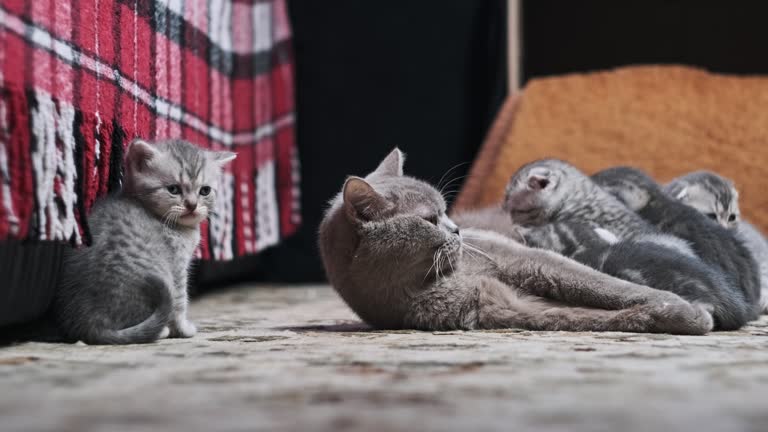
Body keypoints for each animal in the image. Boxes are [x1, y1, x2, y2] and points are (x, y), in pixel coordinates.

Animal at [54, 138, 236, 344]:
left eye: (205, 191)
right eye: (173, 189)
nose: (192, 205)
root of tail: (89, 326)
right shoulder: (177, 269)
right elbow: (180, 302)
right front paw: (183, 329)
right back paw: (161, 331)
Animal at [316, 148, 712, 334]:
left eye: (446, 211)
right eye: (430, 220)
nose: (458, 229)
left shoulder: (524, 259)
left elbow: (604, 286)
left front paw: (685, 308)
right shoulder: (503, 306)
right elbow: (582, 316)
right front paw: (682, 315)